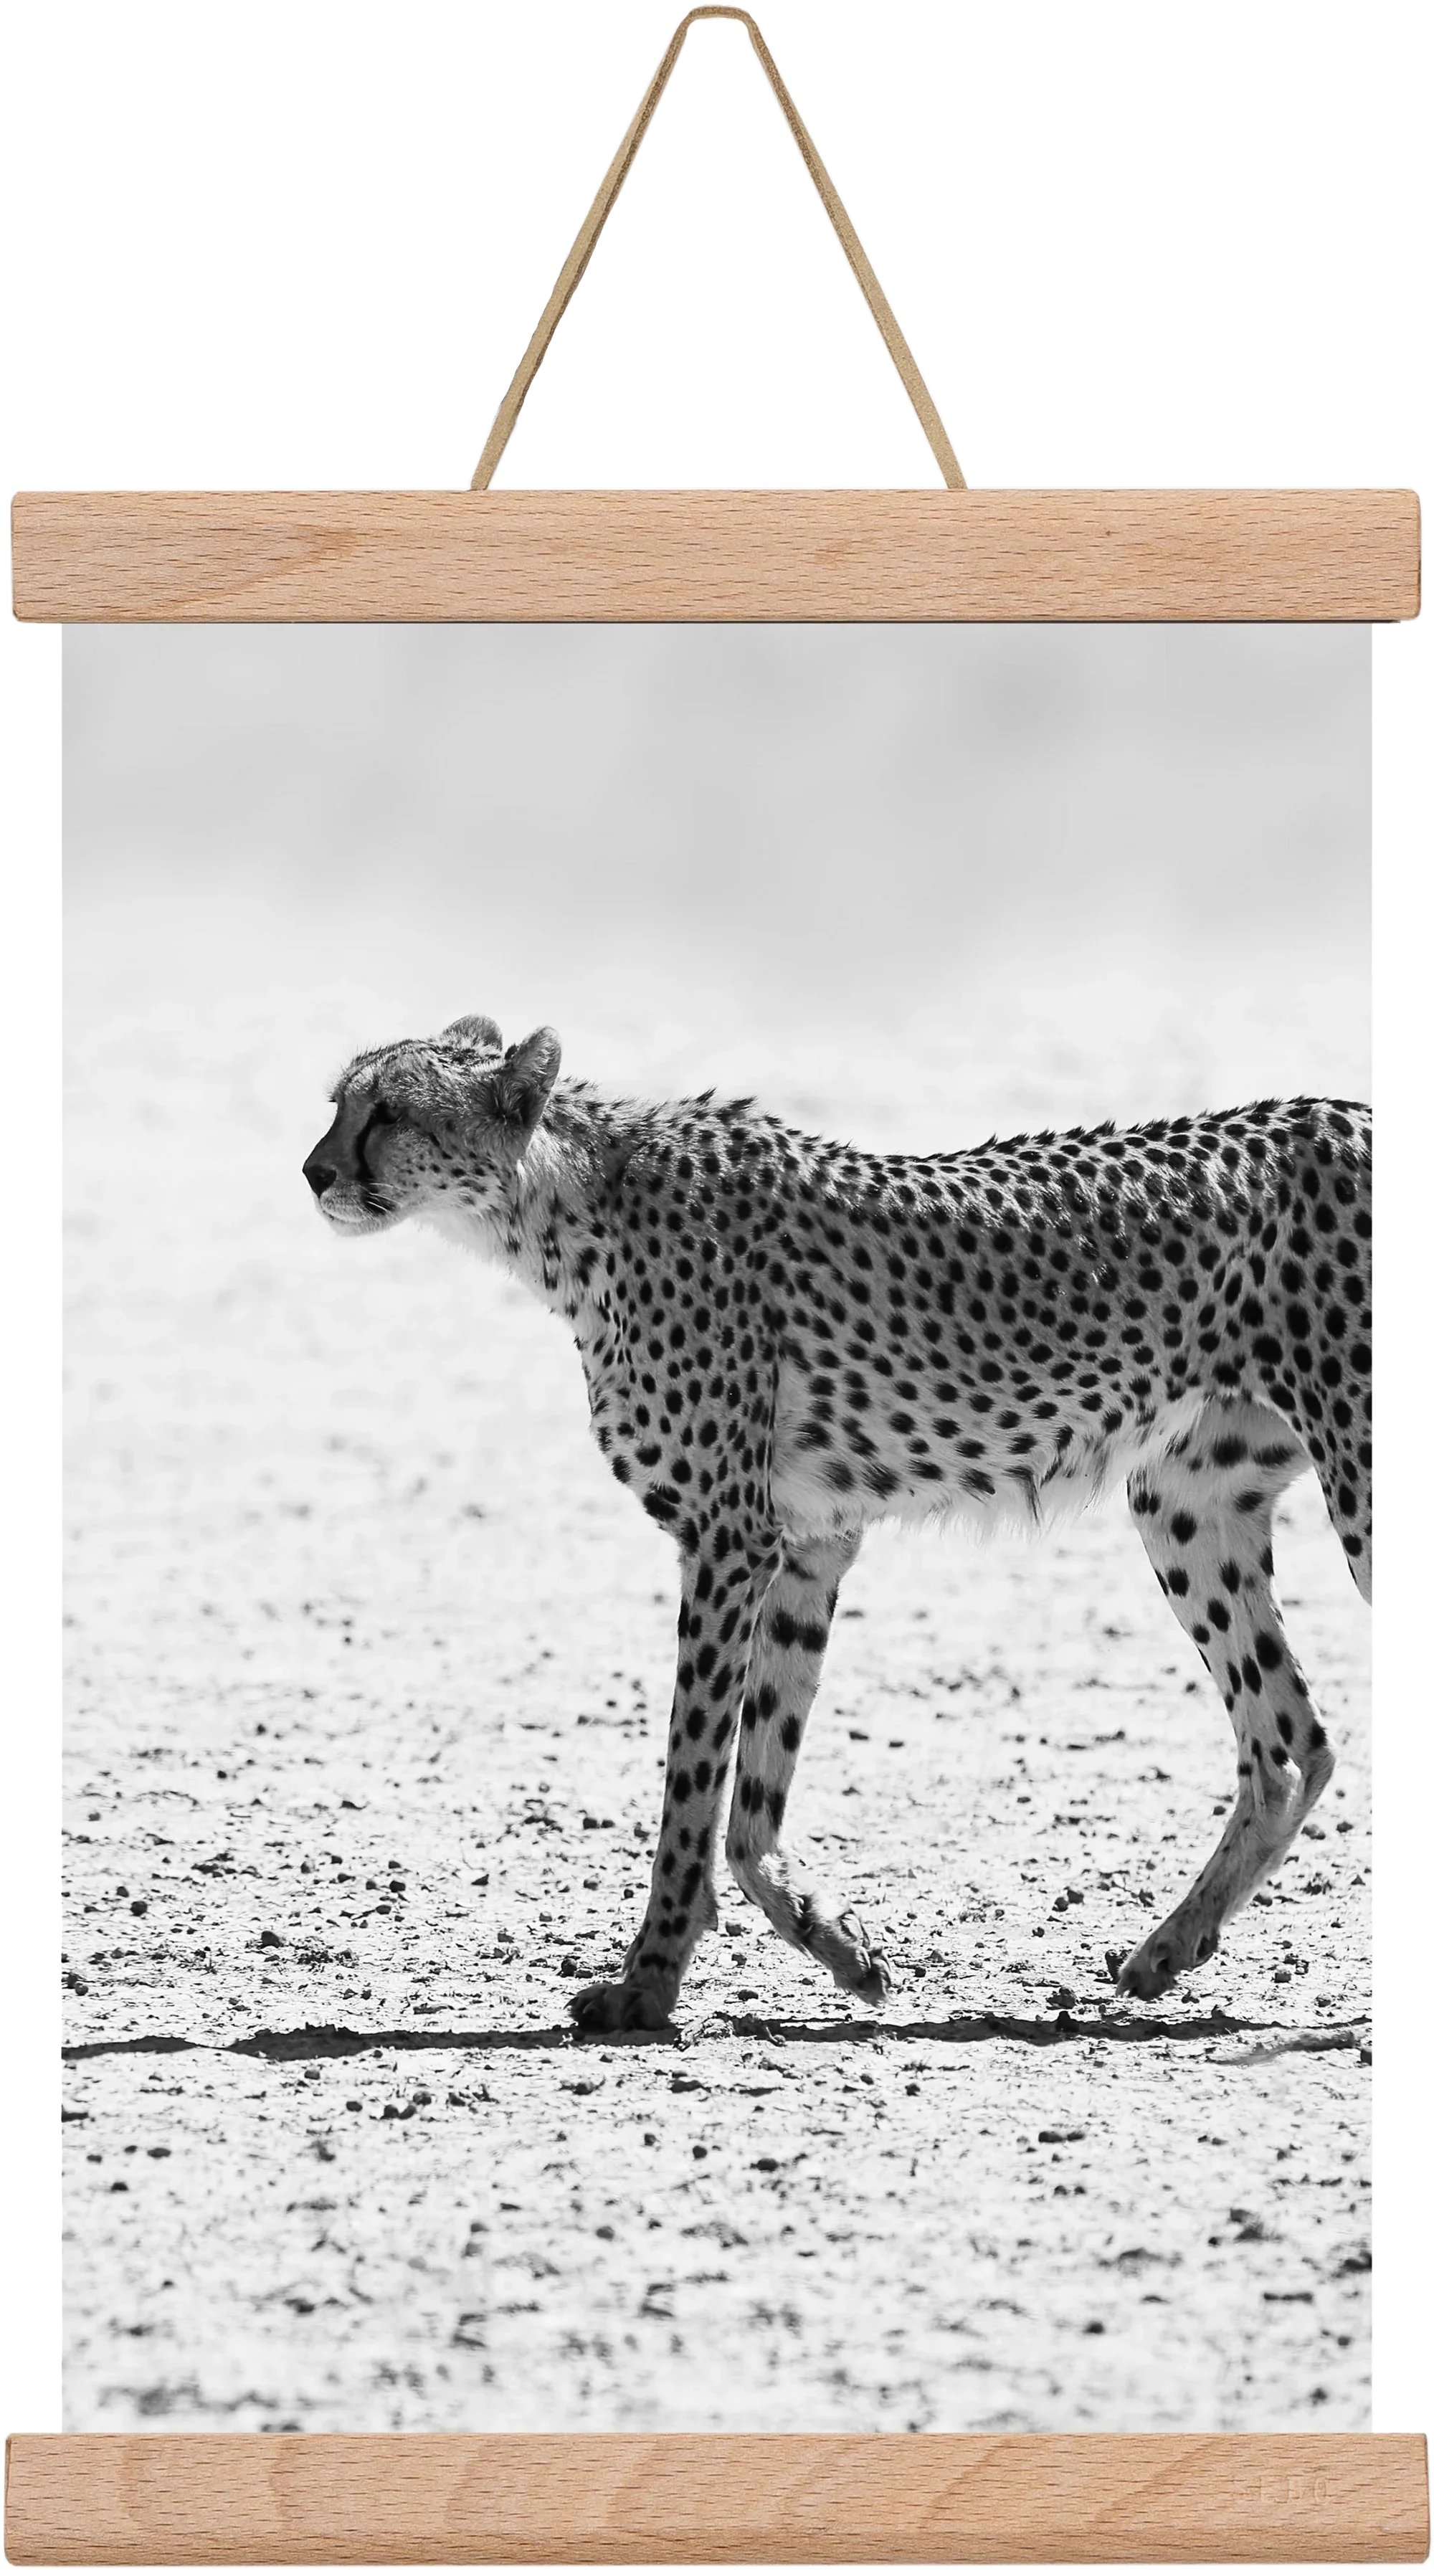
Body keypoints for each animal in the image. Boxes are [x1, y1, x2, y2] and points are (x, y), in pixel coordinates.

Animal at [303, 1014, 1372, 2033]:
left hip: (1353, 1483)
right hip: (1185, 1502)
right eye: (339, 1102)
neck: (563, 1204)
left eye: (389, 1111)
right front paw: (842, 1946)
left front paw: (647, 1984)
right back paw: (1166, 1949)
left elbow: (692, 1783)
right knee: (1290, 1742)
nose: (314, 1171)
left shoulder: (727, 1538)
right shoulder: (808, 1543)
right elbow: (752, 1797)